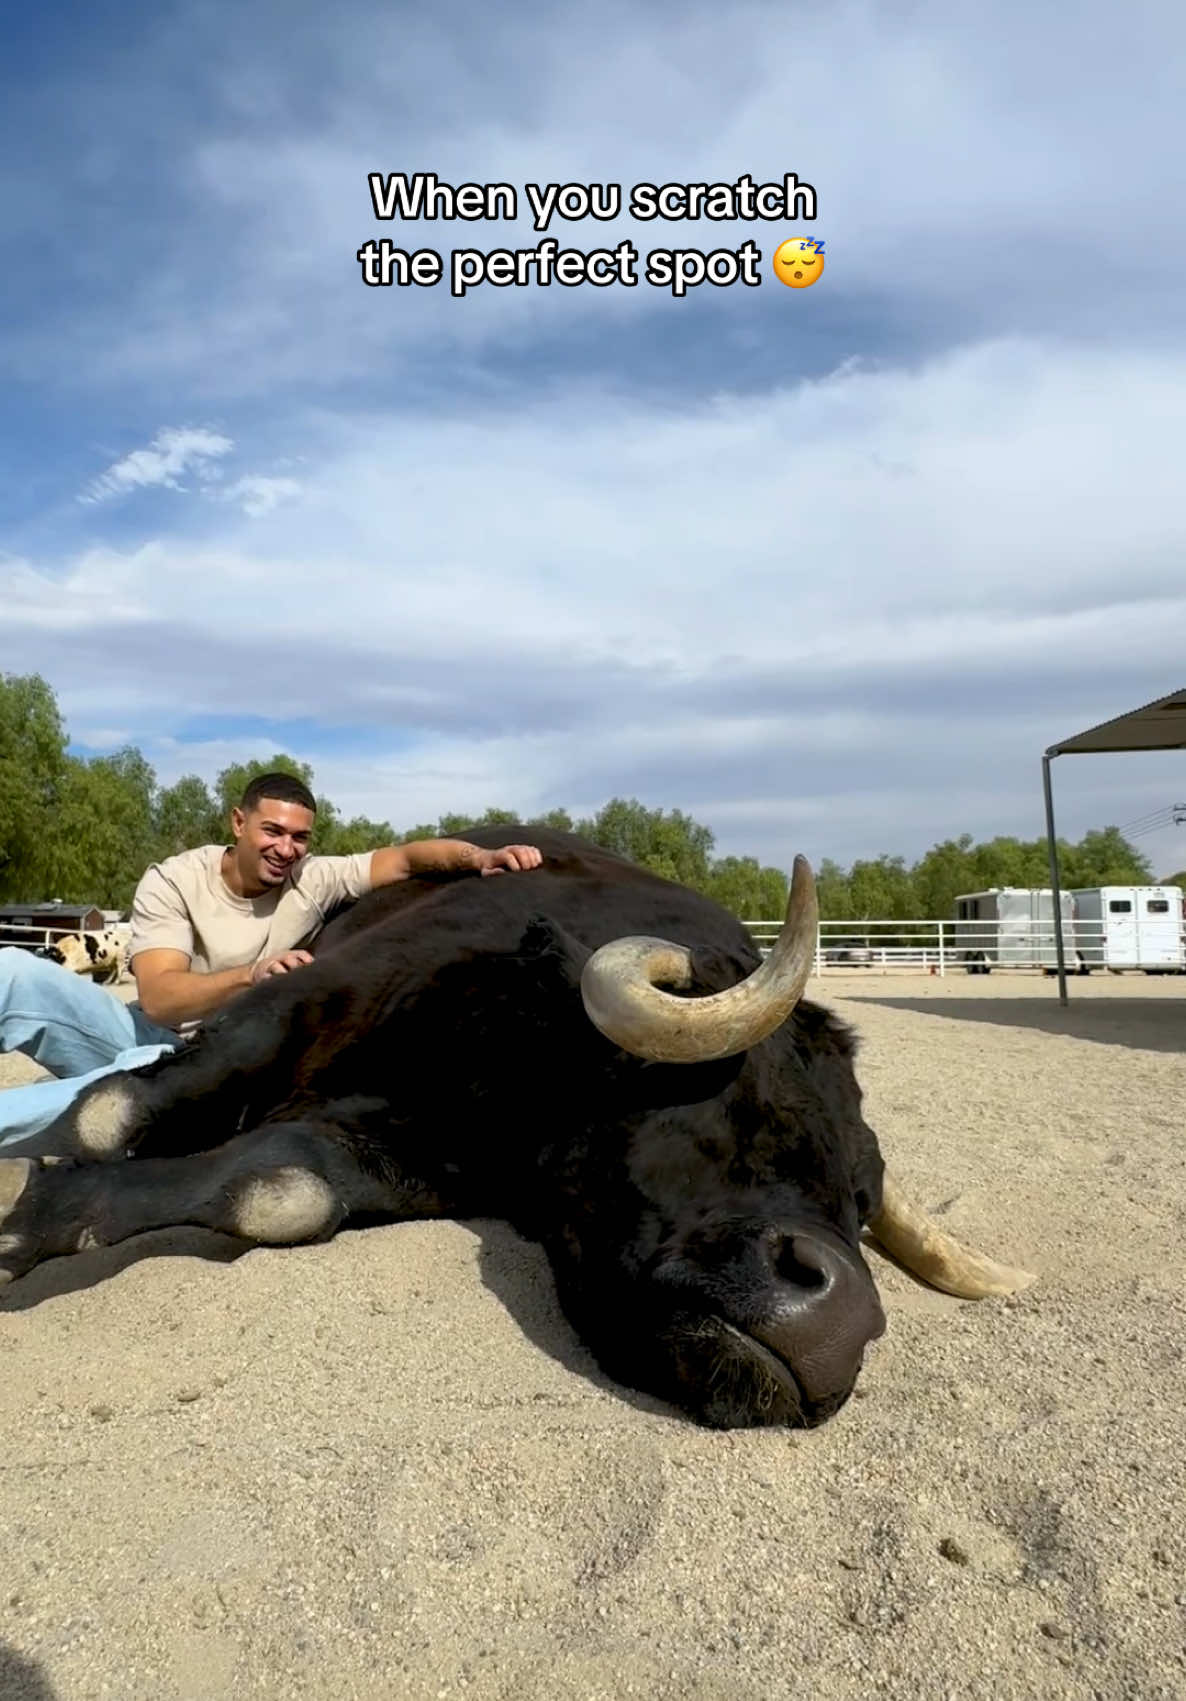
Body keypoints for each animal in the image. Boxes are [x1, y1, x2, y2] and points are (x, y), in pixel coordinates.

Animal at [0, 830, 1027, 1428]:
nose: (842, 1320)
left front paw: (50, 1213)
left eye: (861, 1196)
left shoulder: (419, 1153)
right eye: (747, 1095)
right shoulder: (304, 997)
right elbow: (111, 1109)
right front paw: (29, 1203)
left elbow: (280, 1191)